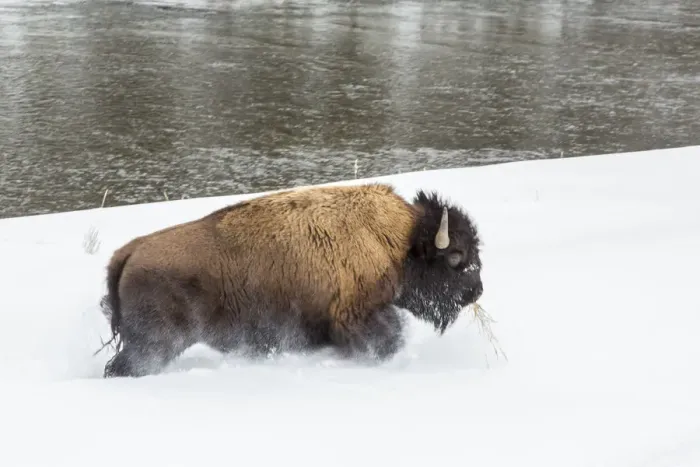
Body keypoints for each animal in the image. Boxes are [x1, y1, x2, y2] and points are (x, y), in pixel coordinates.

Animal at [98, 183, 483, 377]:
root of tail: (129, 252)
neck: (396, 240)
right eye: (456, 257)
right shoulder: (357, 316)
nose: (476, 291)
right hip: (154, 345)